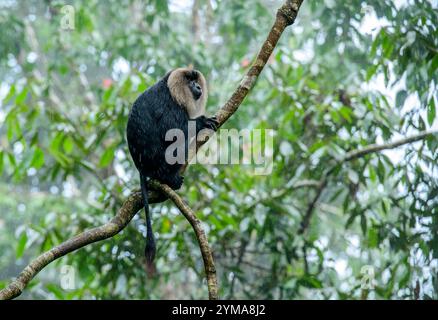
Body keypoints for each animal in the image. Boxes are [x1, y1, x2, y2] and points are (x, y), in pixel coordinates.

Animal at [126, 67, 218, 264]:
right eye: (190, 82)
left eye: (196, 81)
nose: (198, 86)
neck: (171, 91)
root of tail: (141, 166)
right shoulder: (168, 105)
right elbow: (172, 132)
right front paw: (201, 122)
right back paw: (168, 177)